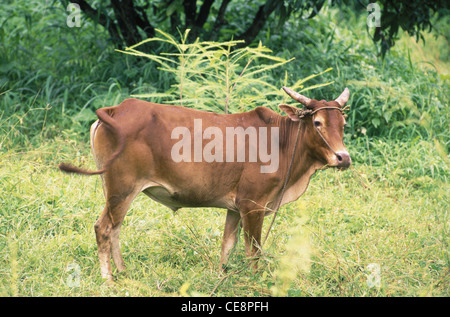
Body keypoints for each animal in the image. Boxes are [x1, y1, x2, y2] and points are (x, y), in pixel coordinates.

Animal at [59, 86, 352, 278]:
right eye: (317, 122)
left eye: (343, 123)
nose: (343, 158)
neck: (282, 142)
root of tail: (116, 110)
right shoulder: (253, 205)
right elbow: (254, 252)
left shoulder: (236, 207)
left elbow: (227, 246)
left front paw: (223, 276)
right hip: (122, 188)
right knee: (103, 227)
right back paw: (108, 279)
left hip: (114, 190)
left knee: (115, 228)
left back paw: (122, 272)